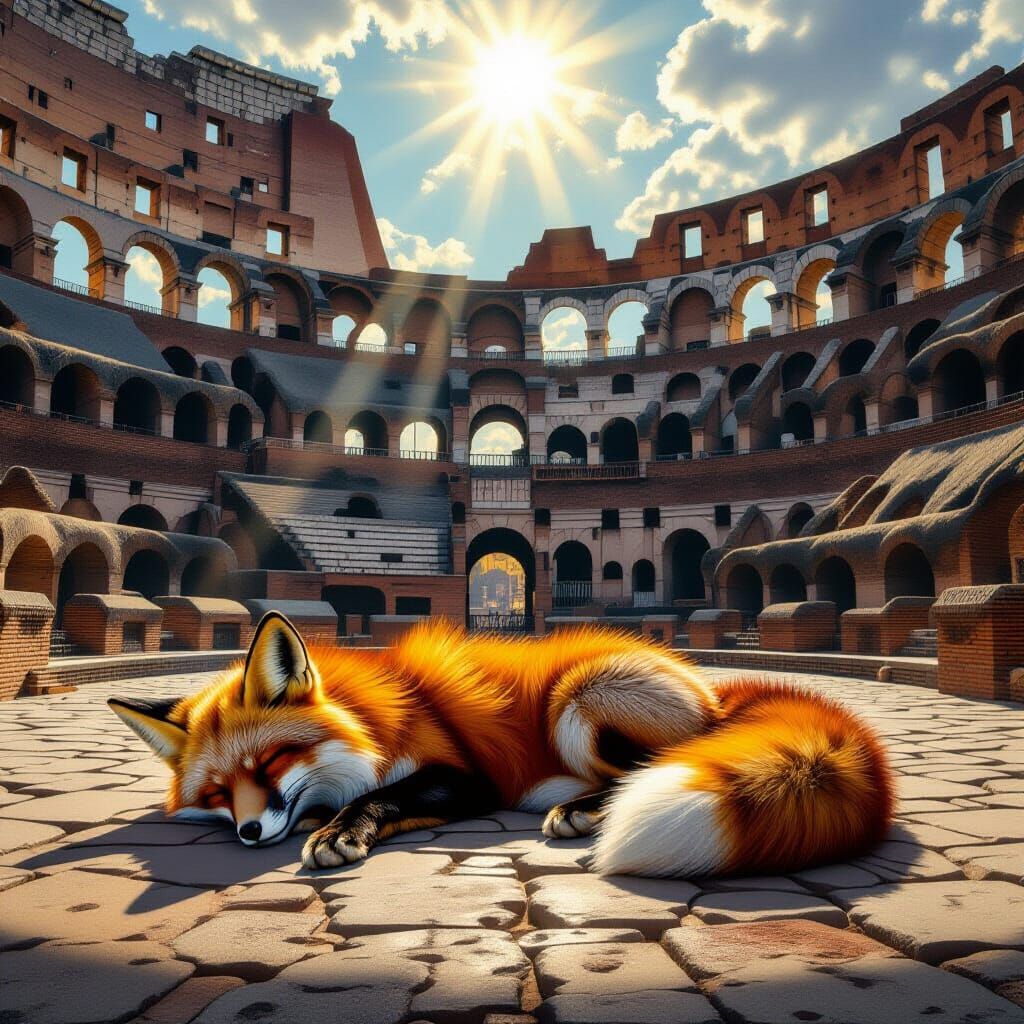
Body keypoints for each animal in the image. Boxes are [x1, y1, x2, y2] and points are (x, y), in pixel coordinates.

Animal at [108, 613, 893, 877]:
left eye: (271, 761)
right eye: (217, 793)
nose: (247, 832)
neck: (374, 712)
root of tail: (713, 691)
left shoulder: (467, 774)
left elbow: (384, 797)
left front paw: (337, 832)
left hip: (576, 699)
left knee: (656, 763)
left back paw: (584, 810)